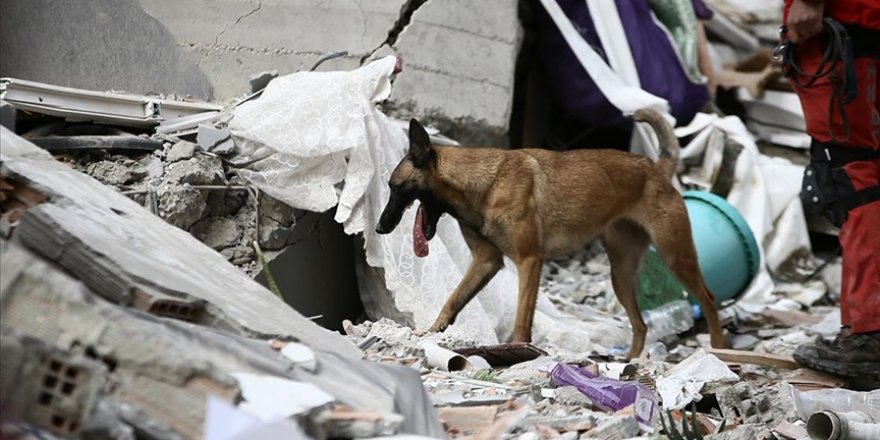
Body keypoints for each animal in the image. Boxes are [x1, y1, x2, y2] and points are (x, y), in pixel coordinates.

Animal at [378, 109, 728, 358]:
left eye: (395, 187)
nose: (381, 227)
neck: (482, 185)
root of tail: (656, 168)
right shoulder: (487, 262)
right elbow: (453, 299)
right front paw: (432, 331)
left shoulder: (529, 262)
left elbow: (522, 320)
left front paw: (520, 352)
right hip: (621, 274)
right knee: (640, 324)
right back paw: (631, 362)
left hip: (675, 256)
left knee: (709, 299)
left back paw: (719, 348)